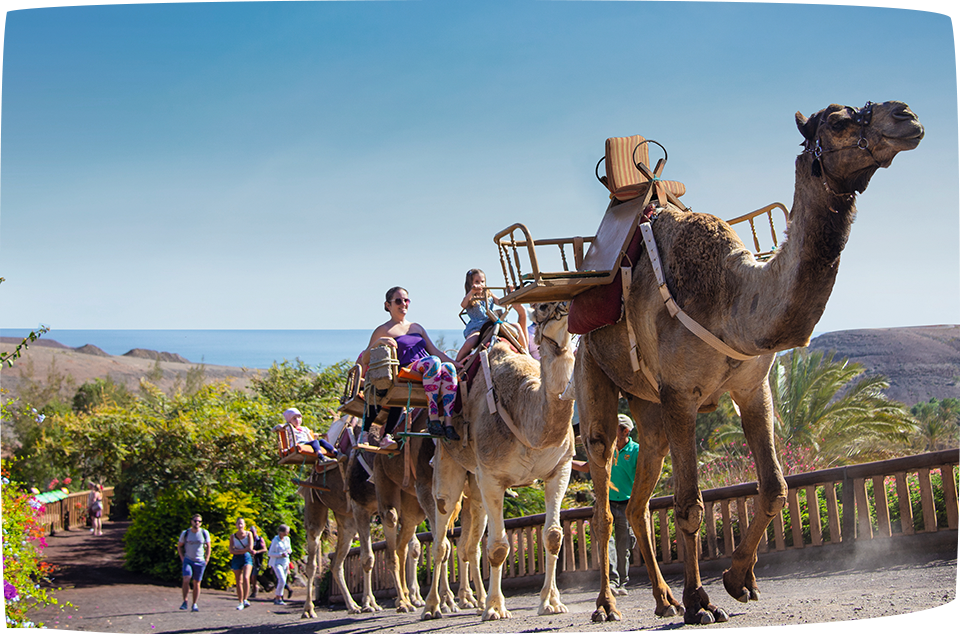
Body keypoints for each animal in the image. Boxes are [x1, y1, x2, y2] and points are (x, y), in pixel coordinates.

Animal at [430, 300, 576, 616]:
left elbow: (553, 536)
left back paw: (474, 600)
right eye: (541, 307)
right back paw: (433, 607)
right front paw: (496, 608)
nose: (563, 305)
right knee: (441, 538)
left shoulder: (560, 468)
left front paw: (551, 602)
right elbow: (498, 547)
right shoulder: (492, 477)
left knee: (469, 543)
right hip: (448, 461)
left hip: (475, 485)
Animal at [572, 100, 928, 624]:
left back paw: (662, 599)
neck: (732, 298)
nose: (907, 116)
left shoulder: (752, 387)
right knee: (601, 497)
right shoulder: (681, 394)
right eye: (838, 121)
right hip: (593, 373)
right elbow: (690, 505)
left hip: (648, 410)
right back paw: (608, 605)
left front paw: (739, 581)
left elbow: (775, 486)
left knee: (637, 503)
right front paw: (700, 602)